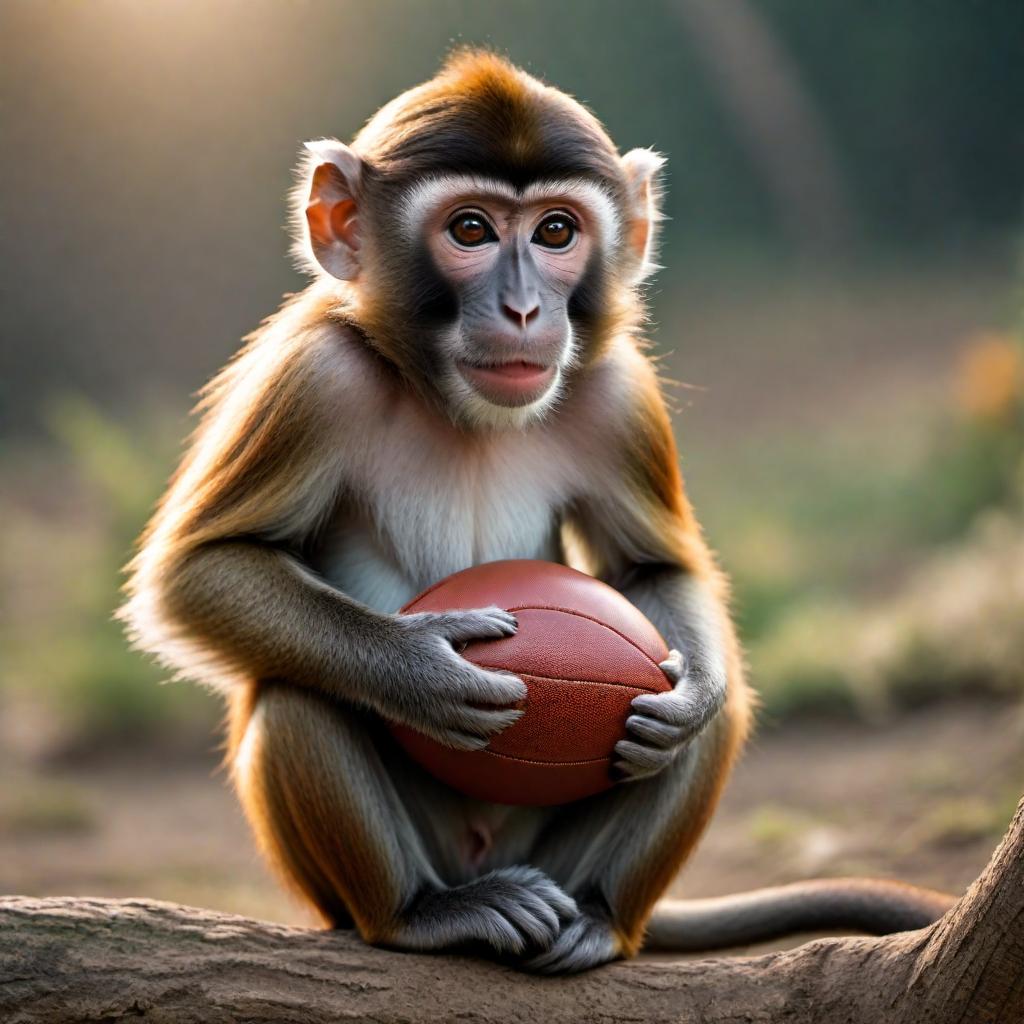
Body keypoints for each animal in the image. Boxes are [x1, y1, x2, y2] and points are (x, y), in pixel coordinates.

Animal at [119, 49, 950, 974]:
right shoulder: (309, 377)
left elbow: (656, 571)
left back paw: (598, 914)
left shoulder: (617, 393)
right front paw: (422, 669)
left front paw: (688, 698)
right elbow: (201, 570)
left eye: (556, 232)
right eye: (470, 230)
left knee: (704, 719)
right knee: (298, 691)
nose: (523, 310)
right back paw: (421, 913)